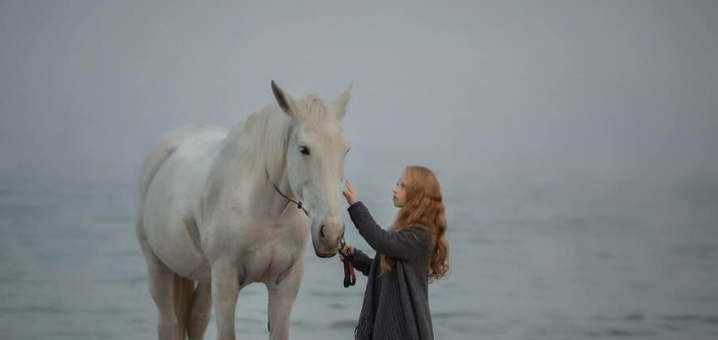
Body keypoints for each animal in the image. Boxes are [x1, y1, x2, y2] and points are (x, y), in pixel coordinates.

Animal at [136, 81, 352, 338]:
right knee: (168, 323)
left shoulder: (286, 282)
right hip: (159, 266)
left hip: (206, 277)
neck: (266, 213)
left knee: (196, 320)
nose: (331, 233)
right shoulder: (225, 279)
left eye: (345, 150)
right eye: (304, 149)